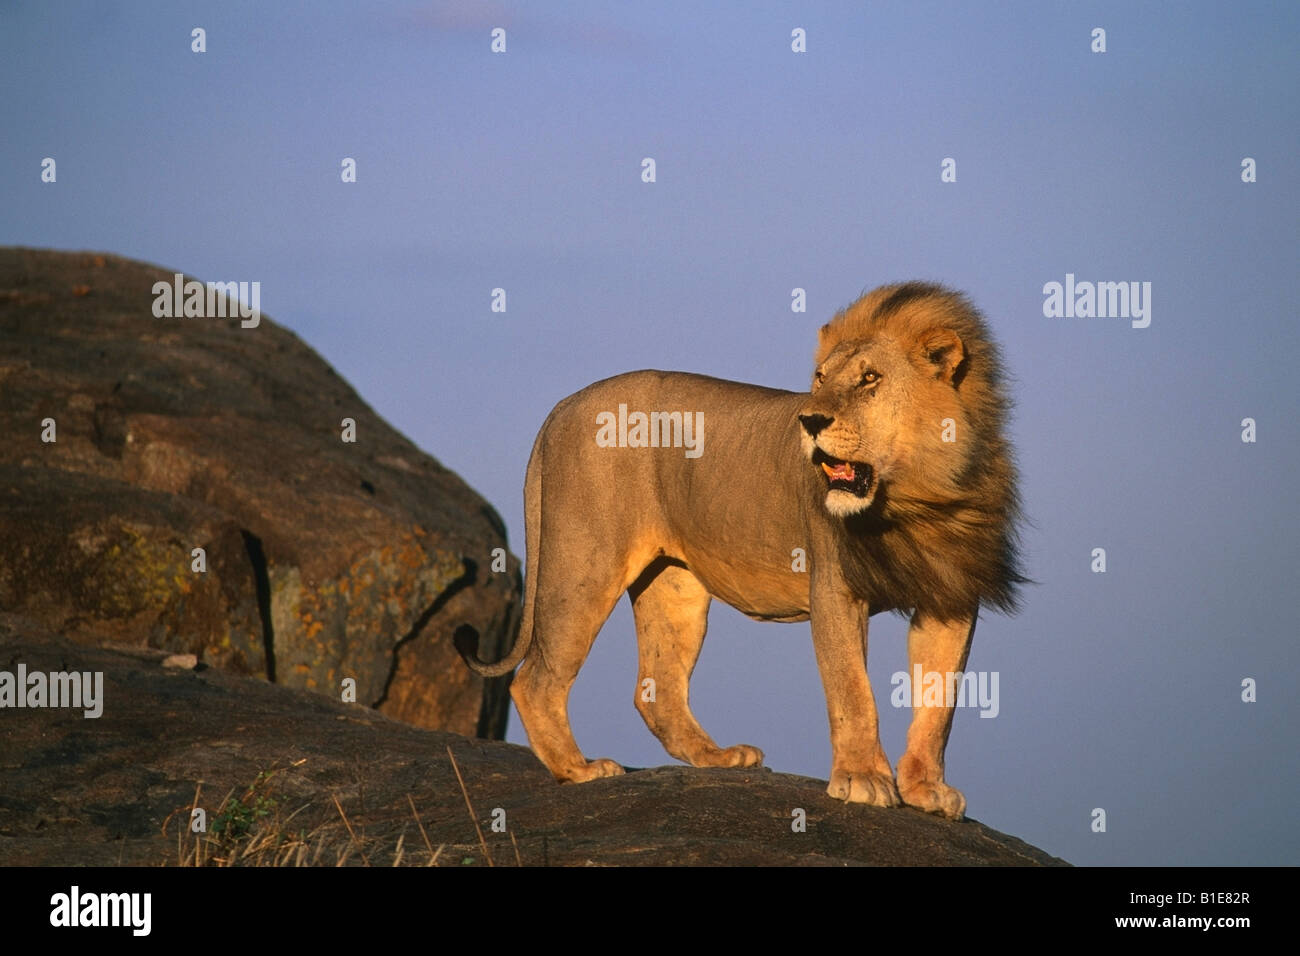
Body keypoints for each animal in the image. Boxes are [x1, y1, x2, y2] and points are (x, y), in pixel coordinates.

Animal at [459, 282, 1024, 820]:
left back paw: (718, 758)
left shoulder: (951, 596)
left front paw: (927, 790)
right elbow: (853, 692)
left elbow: (939, 704)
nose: (809, 421)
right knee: (535, 679)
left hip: (675, 586)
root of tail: (563, 406)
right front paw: (863, 779)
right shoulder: (835, 587)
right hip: (585, 563)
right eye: (820, 378)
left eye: (870, 379)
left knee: (658, 690)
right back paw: (579, 769)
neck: (916, 497)